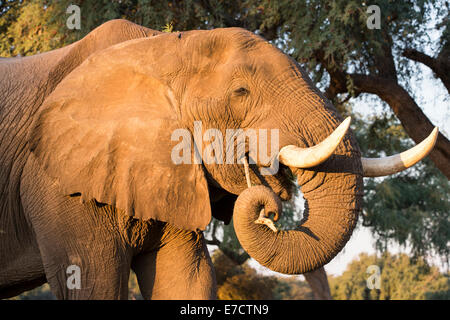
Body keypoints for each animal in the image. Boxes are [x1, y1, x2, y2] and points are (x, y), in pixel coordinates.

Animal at [0, 19, 436, 300]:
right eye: (241, 92)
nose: (268, 212)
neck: (161, 46)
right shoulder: (55, 185)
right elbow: (92, 284)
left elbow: (187, 280)